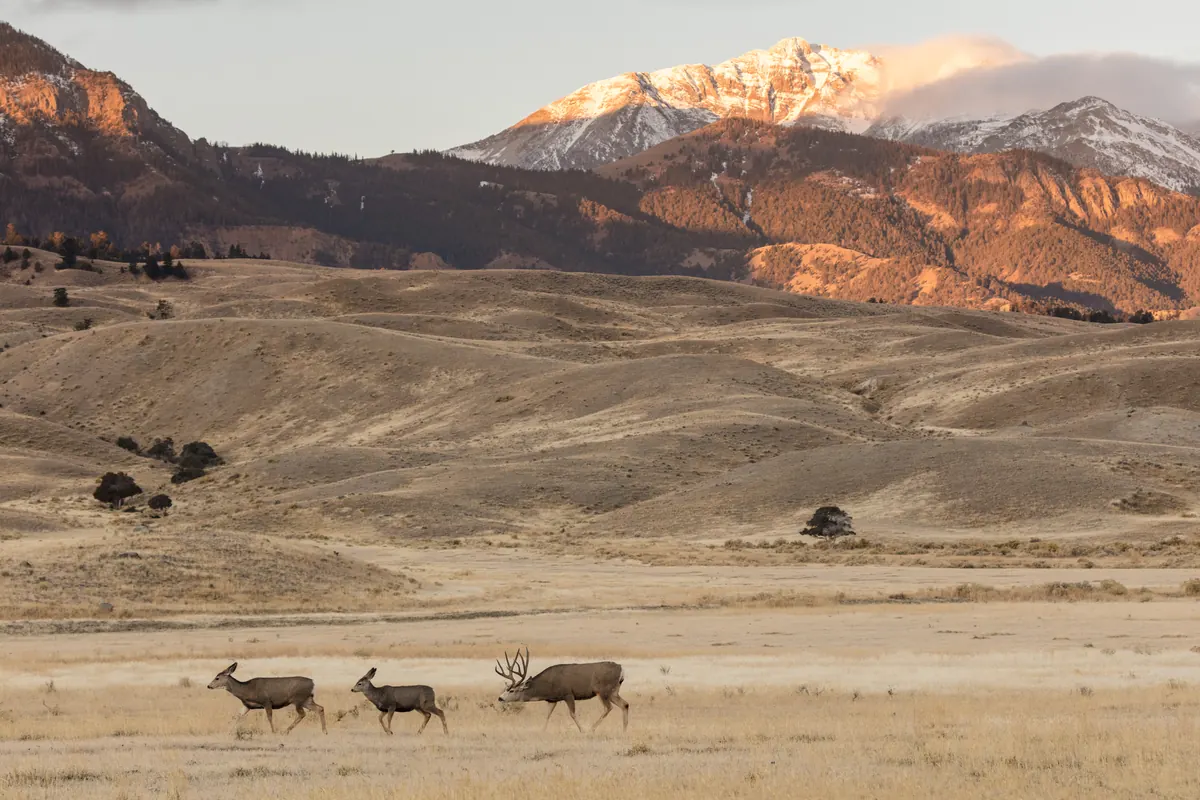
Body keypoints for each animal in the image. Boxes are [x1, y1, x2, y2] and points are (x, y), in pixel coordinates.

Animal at [495, 646, 629, 732]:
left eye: (511, 690)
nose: (500, 698)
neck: (547, 686)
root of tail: (621, 669)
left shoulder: (568, 694)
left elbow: (572, 714)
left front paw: (582, 730)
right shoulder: (552, 699)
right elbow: (547, 715)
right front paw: (542, 731)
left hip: (603, 691)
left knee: (608, 708)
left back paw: (592, 729)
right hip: (613, 691)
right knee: (625, 704)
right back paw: (624, 729)